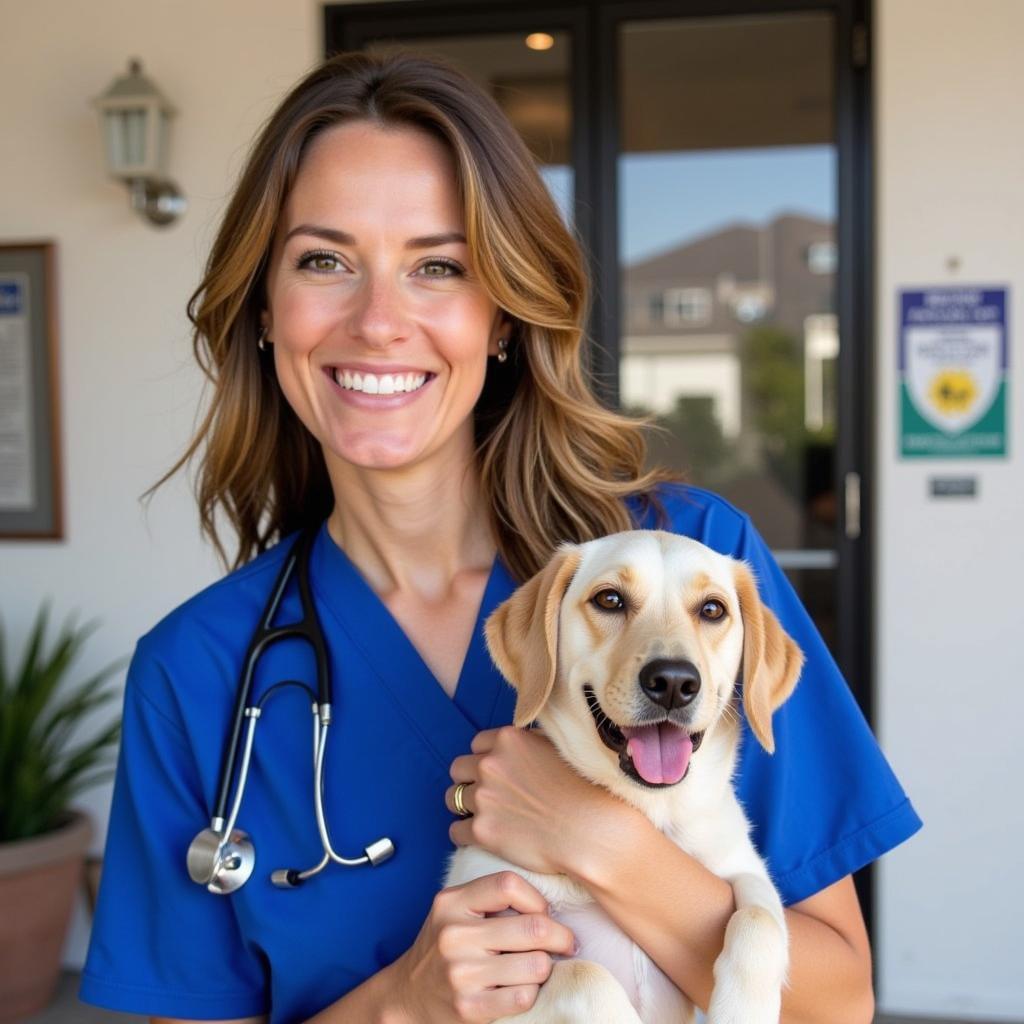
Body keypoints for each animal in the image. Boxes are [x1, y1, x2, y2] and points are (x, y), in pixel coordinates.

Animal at [444, 532, 802, 1019]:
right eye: (609, 599)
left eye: (713, 609)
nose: (673, 682)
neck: (651, 806)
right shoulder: (499, 965)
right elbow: (584, 974)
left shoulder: (743, 867)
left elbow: (760, 918)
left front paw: (742, 1011)